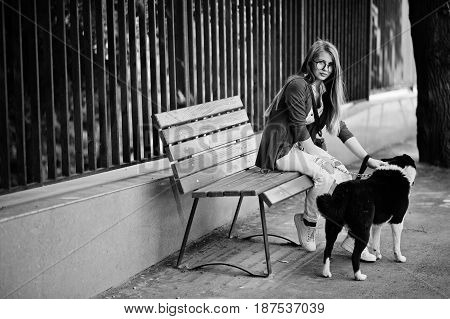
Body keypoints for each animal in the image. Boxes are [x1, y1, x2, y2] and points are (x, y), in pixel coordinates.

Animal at [316, 154, 414, 282]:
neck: (397, 167)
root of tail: (346, 191)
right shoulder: (398, 220)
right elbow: (396, 244)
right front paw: (399, 258)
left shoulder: (377, 224)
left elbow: (376, 241)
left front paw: (377, 255)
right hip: (363, 229)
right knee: (355, 255)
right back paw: (359, 276)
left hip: (333, 225)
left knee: (327, 250)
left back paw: (326, 273)